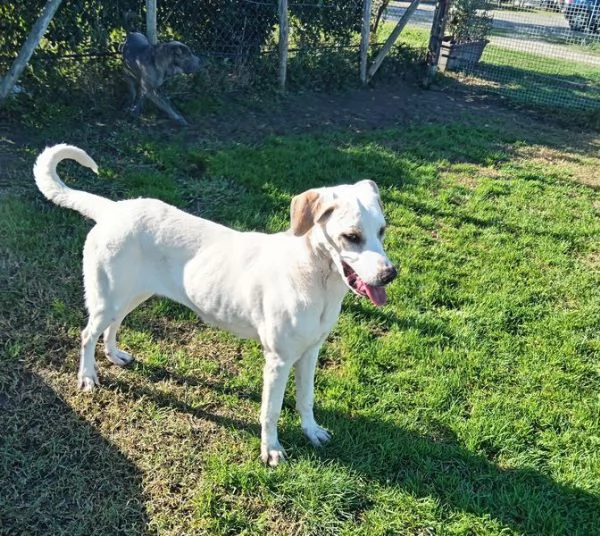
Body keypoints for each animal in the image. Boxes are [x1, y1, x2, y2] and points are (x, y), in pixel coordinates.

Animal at [35, 144, 396, 466]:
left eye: (381, 230)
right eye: (351, 237)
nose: (390, 274)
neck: (316, 277)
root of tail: (113, 209)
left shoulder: (310, 353)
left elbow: (305, 400)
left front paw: (311, 431)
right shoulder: (278, 360)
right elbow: (271, 411)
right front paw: (271, 450)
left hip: (133, 294)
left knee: (112, 325)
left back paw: (113, 355)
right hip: (108, 297)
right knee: (87, 334)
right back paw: (87, 377)